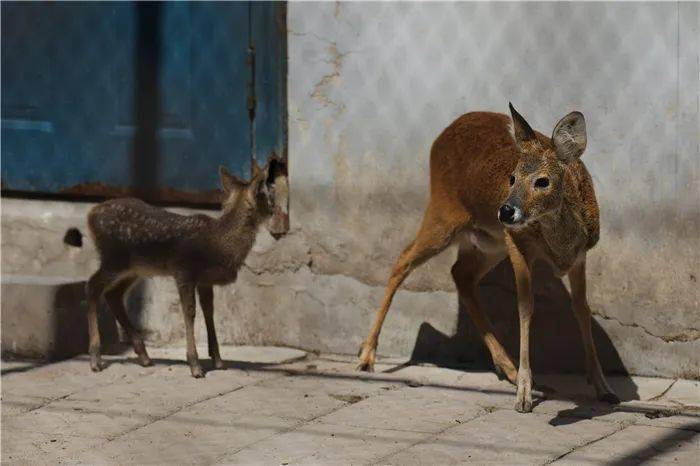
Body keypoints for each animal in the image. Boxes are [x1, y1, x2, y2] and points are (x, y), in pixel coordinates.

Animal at [360, 104, 616, 412]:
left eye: (543, 181)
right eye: (512, 177)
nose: (506, 211)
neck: (561, 245)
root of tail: (441, 135)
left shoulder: (580, 256)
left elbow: (582, 309)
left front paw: (604, 388)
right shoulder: (517, 241)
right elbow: (525, 307)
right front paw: (524, 395)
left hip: (488, 242)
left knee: (460, 274)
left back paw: (507, 367)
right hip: (445, 213)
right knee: (403, 258)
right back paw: (366, 357)